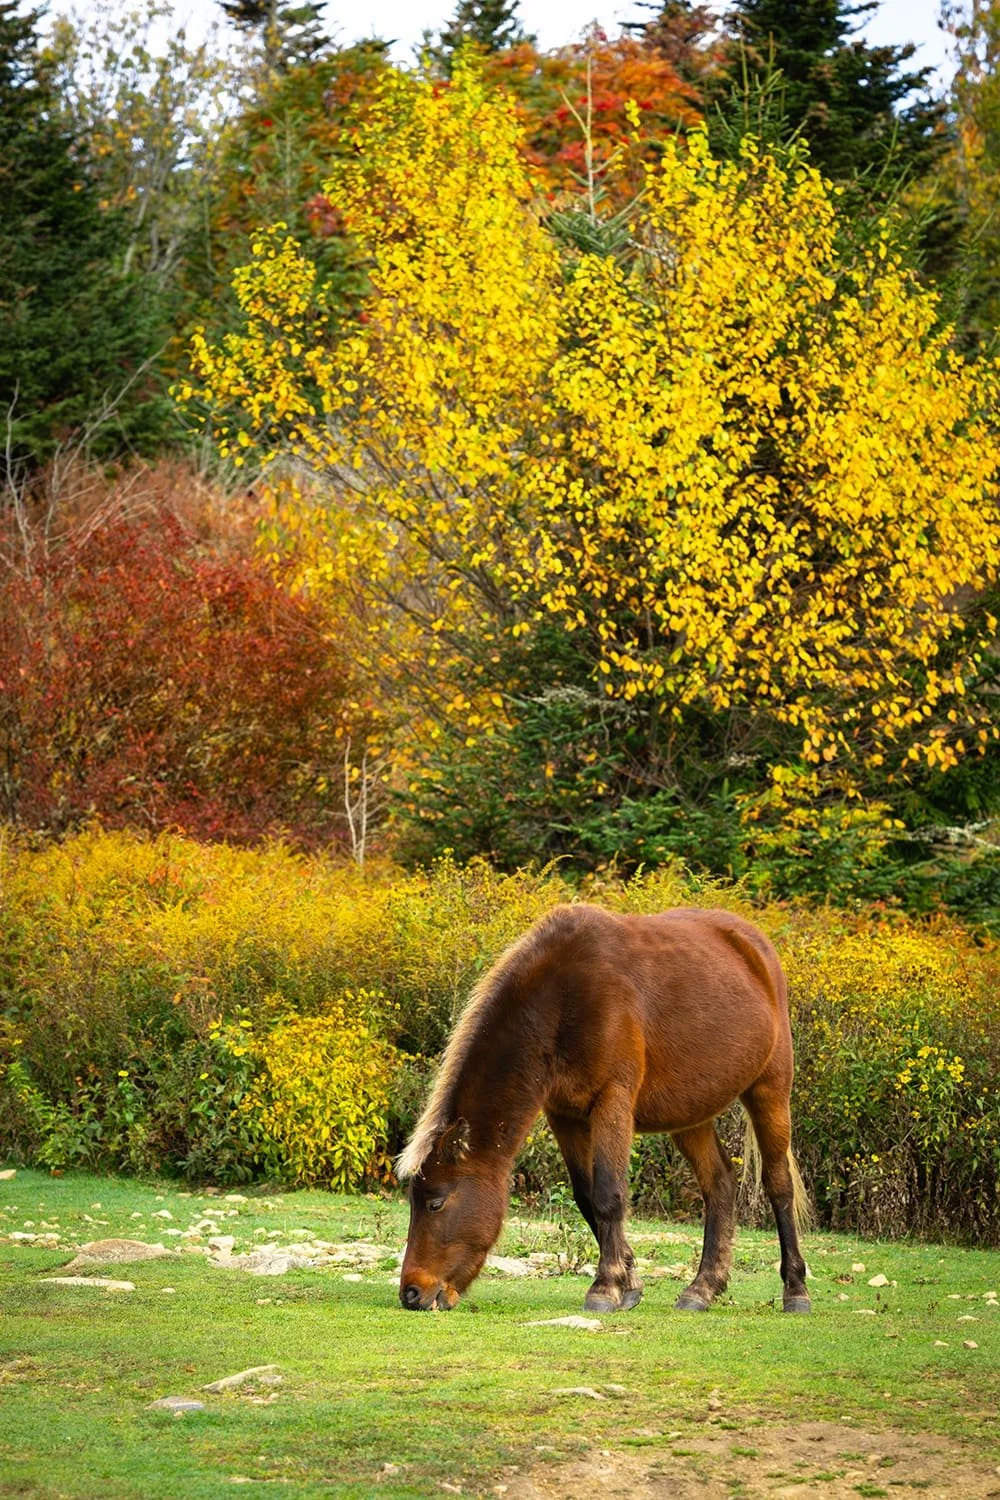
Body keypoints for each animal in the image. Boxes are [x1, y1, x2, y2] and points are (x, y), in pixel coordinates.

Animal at [397, 903, 811, 1316]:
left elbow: (608, 1194)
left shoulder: (613, 1102)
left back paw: (795, 1291)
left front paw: (605, 1287)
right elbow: (585, 1196)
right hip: (692, 1114)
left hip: (770, 1091)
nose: (411, 1293)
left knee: (778, 1185)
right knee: (719, 1182)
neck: (562, 1000)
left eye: (435, 1202)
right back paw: (702, 1289)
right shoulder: (564, 1116)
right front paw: (629, 1283)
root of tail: (756, 946)